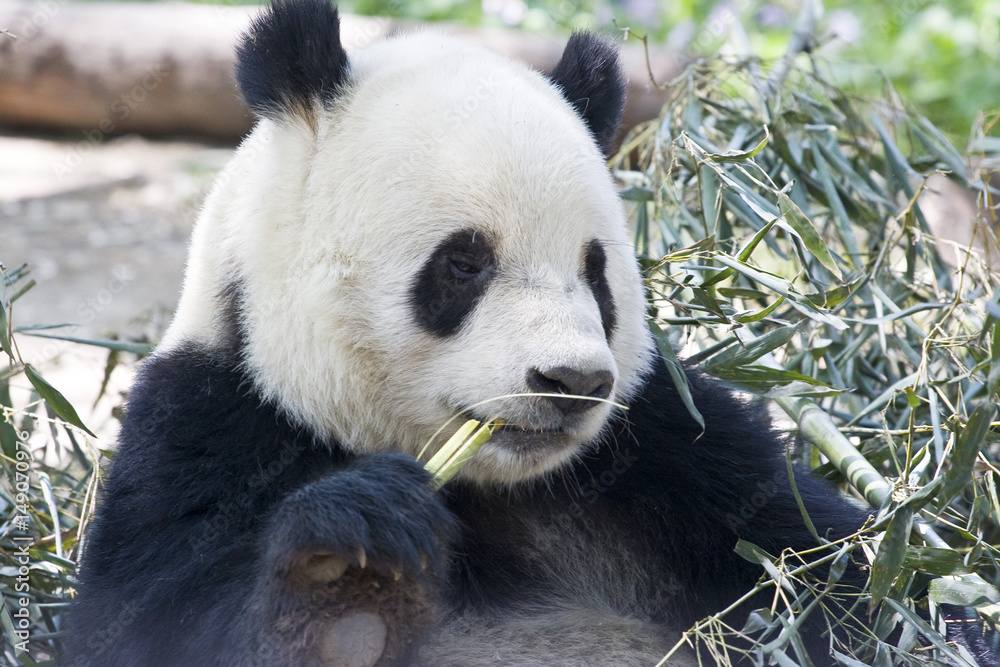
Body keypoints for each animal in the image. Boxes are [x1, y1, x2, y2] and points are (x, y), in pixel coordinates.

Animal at [66, 1, 872, 665]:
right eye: (464, 262)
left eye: (596, 272)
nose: (573, 383)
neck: (492, 490)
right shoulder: (208, 431)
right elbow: (149, 628)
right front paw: (351, 556)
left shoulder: (672, 448)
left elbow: (830, 567)